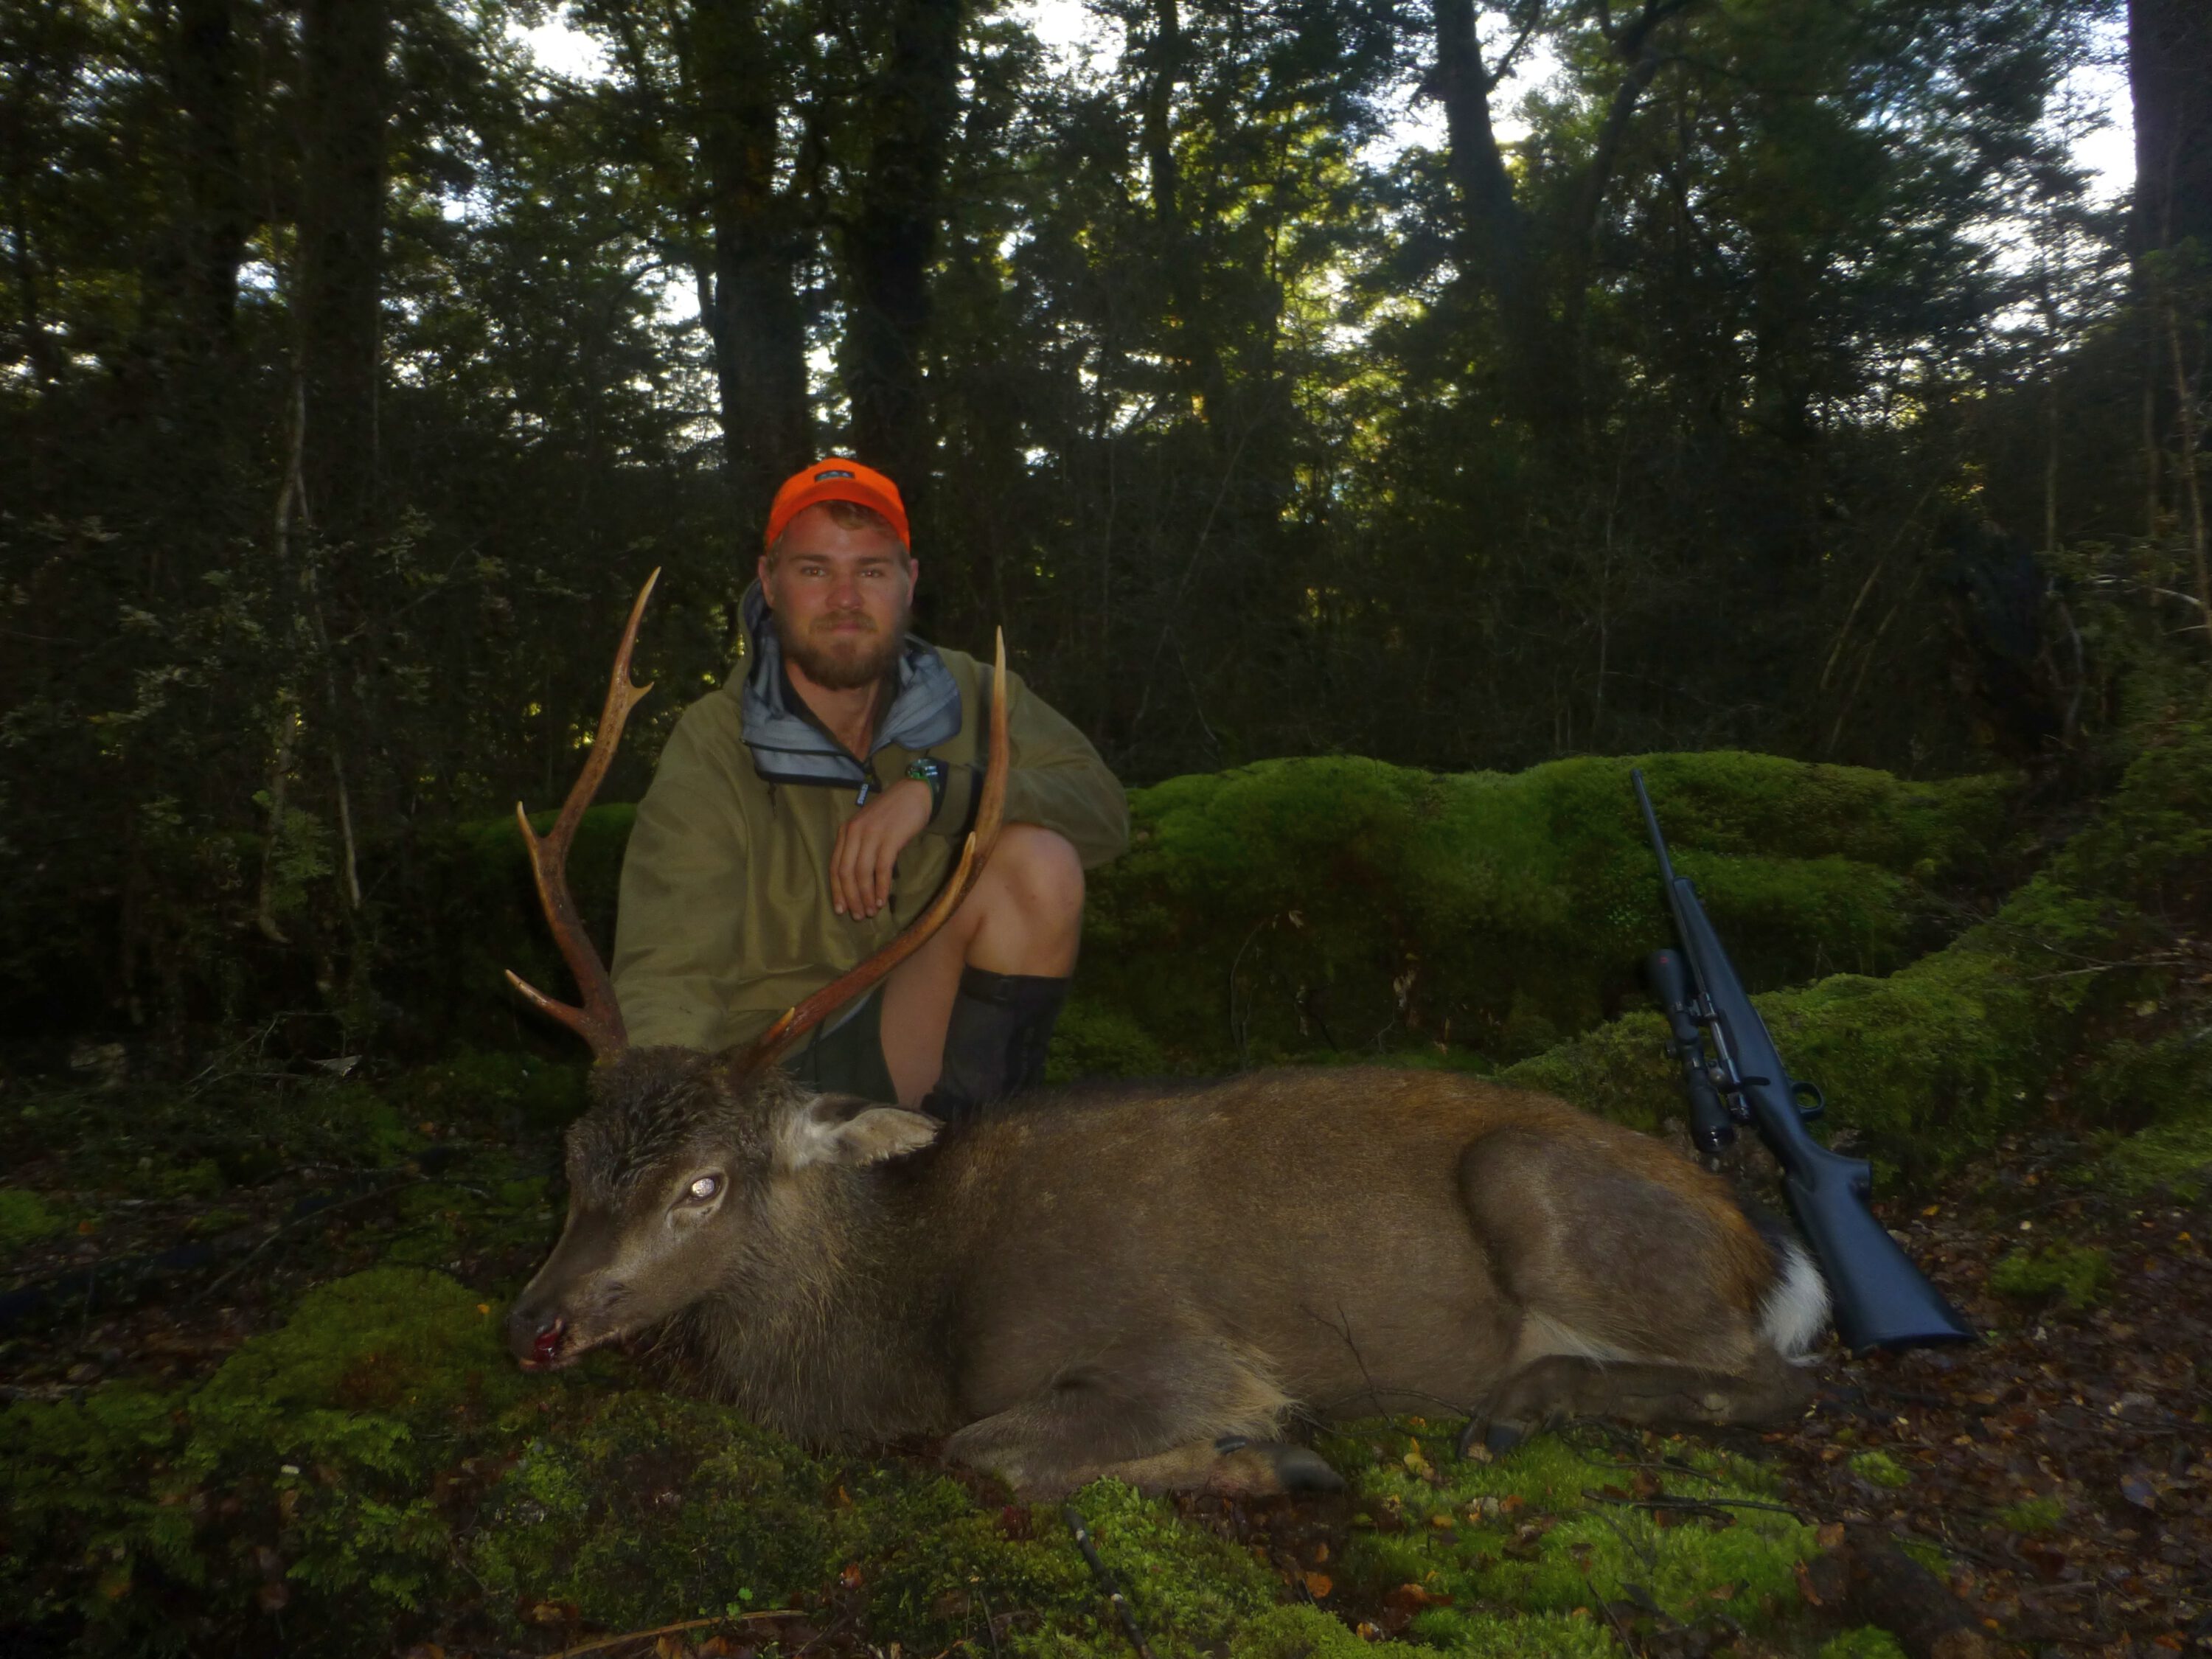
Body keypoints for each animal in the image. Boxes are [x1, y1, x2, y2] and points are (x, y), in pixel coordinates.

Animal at [509, 580, 1823, 1504]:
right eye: (569, 1160)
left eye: (704, 1183)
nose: (537, 1321)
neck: (908, 1321)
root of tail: (1763, 1248)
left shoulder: (1169, 1349)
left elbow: (992, 1447)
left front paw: (1272, 1457)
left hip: (1538, 1189)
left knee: (1779, 1379)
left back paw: (1527, 1395)